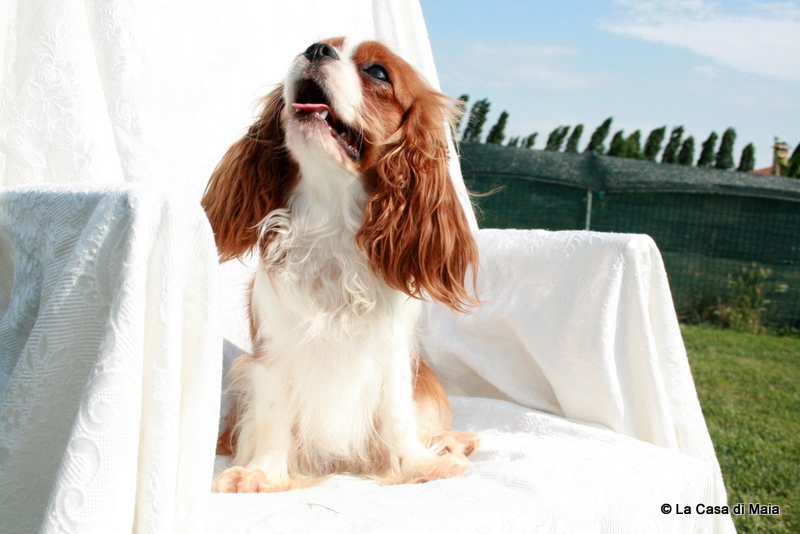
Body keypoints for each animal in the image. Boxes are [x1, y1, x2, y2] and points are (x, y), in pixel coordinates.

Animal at [202, 37, 479, 493]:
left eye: (378, 72)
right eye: (320, 44)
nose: (315, 49)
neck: (330, 216)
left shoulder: (391, 355)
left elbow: (397, 416)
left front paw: (417, 466)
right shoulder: (270, 354)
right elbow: (274, 415)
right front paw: (263, 473)